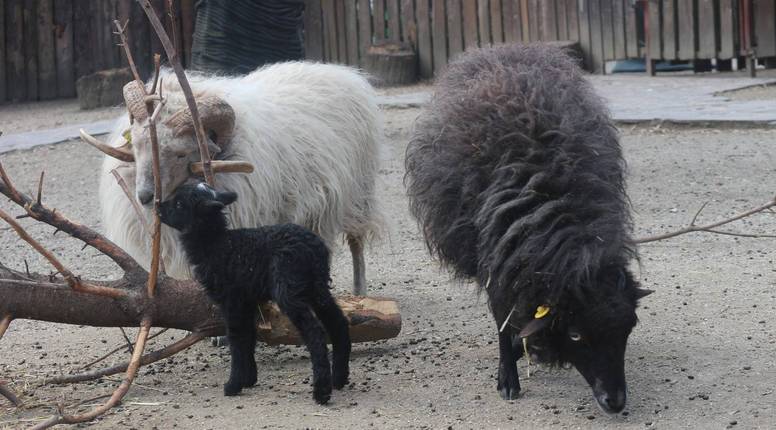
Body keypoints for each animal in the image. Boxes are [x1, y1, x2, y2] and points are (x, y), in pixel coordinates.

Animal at [86, 62, 382, 295]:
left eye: (181, 154)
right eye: (137, 145)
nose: (145, 196)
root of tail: (341, 71)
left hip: (359, 193)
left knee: (356, 244)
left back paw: (359, 292)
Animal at [158, 182, 351, 402]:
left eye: (179, 204)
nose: (158, 207)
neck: (217, 245)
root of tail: (314, 248)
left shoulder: (231, 300)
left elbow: (236, 338)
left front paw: (233, 385)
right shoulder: (247, 300)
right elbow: (249, 336)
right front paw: (249, 378)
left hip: (289, 289)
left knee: (315, 333)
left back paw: (321, 392)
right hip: (317, 287)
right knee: (338, 322)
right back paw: (339, 378)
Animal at [404, 44, 653, 414]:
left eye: (628, 327)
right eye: (576, 334)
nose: (615, 401)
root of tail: (503, 48)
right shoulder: (497, 266)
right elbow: (503, 322)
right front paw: (508, 377)